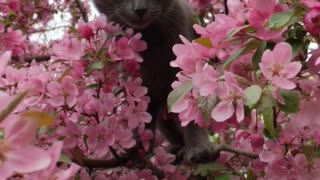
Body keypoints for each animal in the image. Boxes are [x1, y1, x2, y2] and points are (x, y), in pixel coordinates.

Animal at [92, 0, 218, 163]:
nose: (140, 9)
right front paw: (136, 149)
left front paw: (200, 148)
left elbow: (191, 117)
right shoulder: (137, 83)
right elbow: (140, 118)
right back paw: (176, 150)